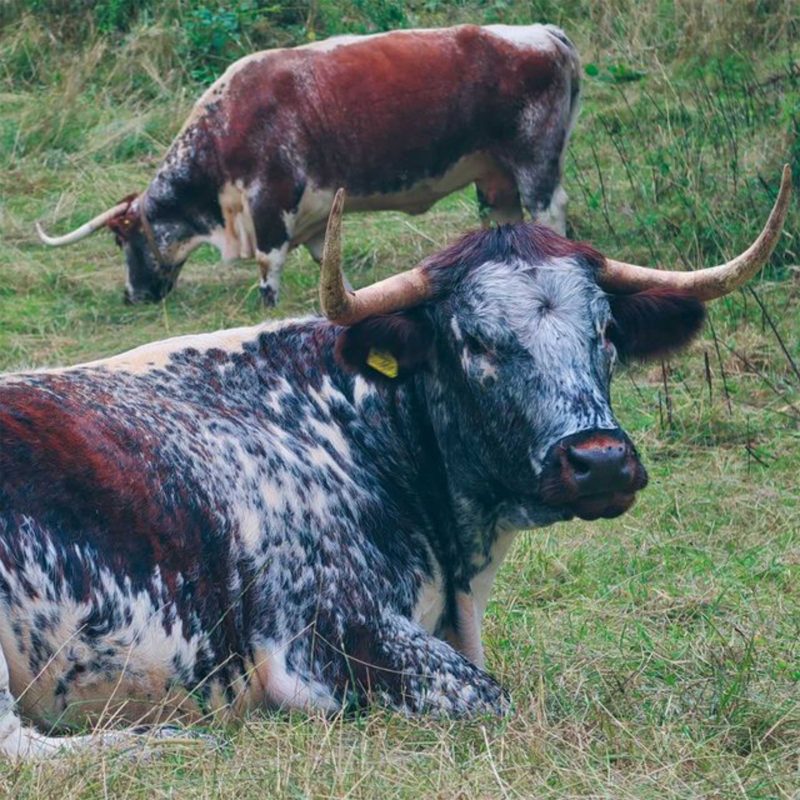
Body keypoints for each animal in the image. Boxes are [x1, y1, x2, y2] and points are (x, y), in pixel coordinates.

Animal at [36, 24, 580, 306]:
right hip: (497, 179)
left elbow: (268, 264)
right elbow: (329, 269)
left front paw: (267, 309)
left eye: (119, 240)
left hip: (534, 166)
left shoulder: (269, 202)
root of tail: (542, 32)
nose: (132, 296)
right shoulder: (316, 219)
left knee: (550, 213)